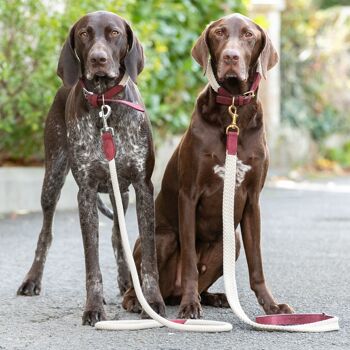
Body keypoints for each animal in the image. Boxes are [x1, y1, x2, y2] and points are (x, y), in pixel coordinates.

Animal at [16, 11, 164, 328]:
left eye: (114, 33)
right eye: (84, 34)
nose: (98, 59)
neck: (105, 104)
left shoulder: (143, 187)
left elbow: (148, 256)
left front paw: (152, 302)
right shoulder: (85, 192)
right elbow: (91, 262)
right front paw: (94, 307)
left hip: (120, 192)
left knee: (117, 237)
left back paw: (126, 281)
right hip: (53, 177)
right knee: (45, 234)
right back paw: (32, 279)